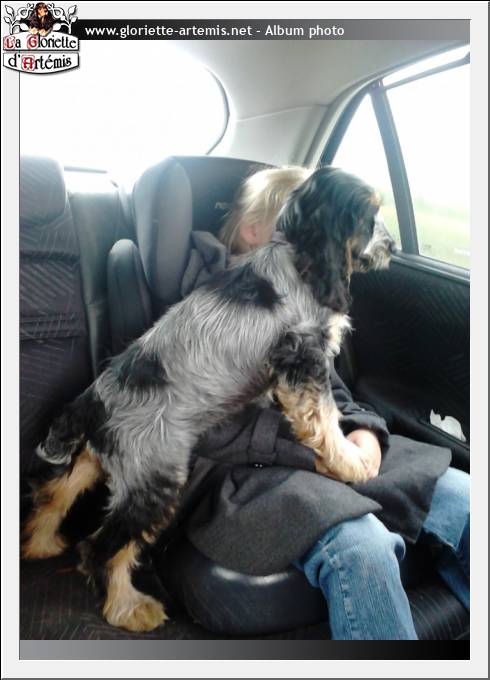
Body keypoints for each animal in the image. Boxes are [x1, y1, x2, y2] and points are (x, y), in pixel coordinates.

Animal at [21, 166, 396, 632]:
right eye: (368, 214)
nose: (393, 247)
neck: (299, 255)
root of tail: (93, 402)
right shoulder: (302, 358)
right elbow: (324, 418)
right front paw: (351, 461)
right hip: (154, 478)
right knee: (102, 548)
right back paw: (129, 607)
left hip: (98, 458)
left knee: (54, 494)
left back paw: (39, 544)